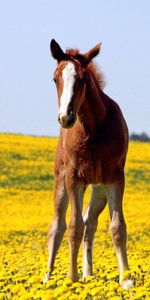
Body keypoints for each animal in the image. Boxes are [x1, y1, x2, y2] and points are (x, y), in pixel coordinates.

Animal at [44, 38, 132, 290]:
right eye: (55, 78)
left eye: (82, 79)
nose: (66, 117)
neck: (93, 130)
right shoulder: (74, 178)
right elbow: (73, 226)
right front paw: (71, 278)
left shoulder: (114, 178)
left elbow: (117, 227)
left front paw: (126, 280)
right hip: (62, 181)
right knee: (58, 226)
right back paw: (46, 278)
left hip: (98, 190)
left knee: (89, 222)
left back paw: (88, 275)